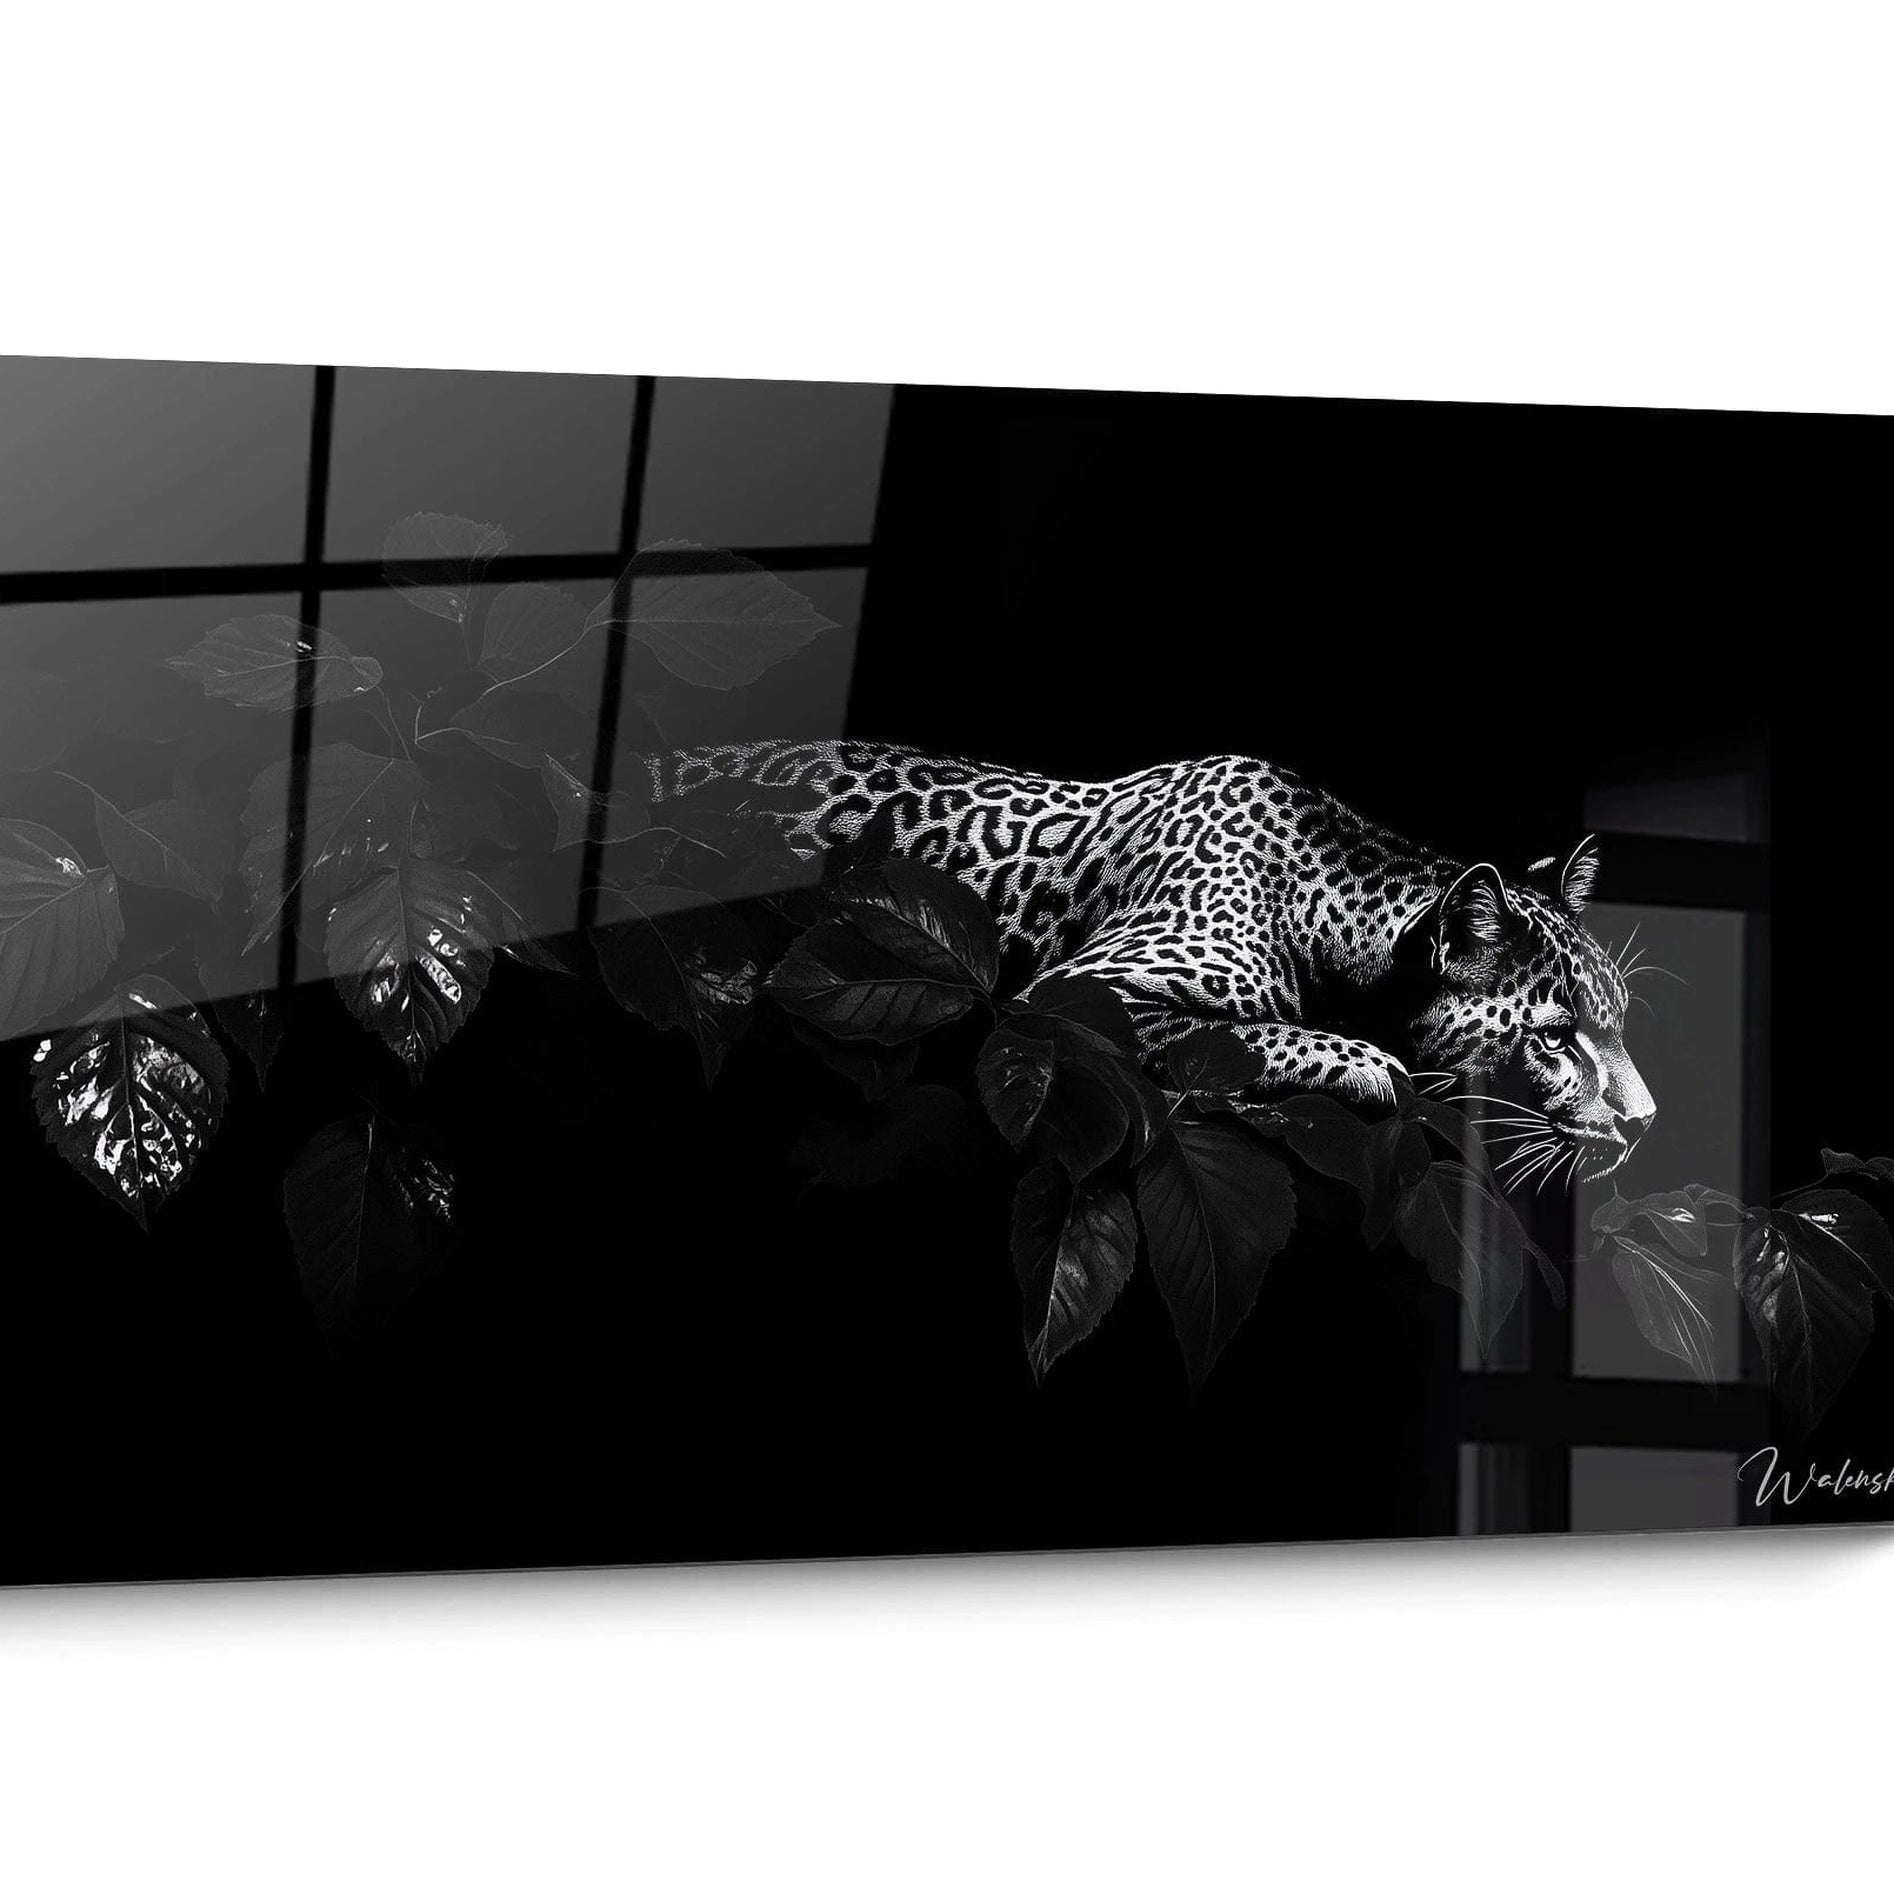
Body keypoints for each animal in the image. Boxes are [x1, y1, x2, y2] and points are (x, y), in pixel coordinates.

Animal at [637, 740, 1657, 1181]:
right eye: (1558, 1038)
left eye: (1617, 1024)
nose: (1647, 1124)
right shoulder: (1074, 993)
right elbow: (1270, 1036)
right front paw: (1376, 1068)